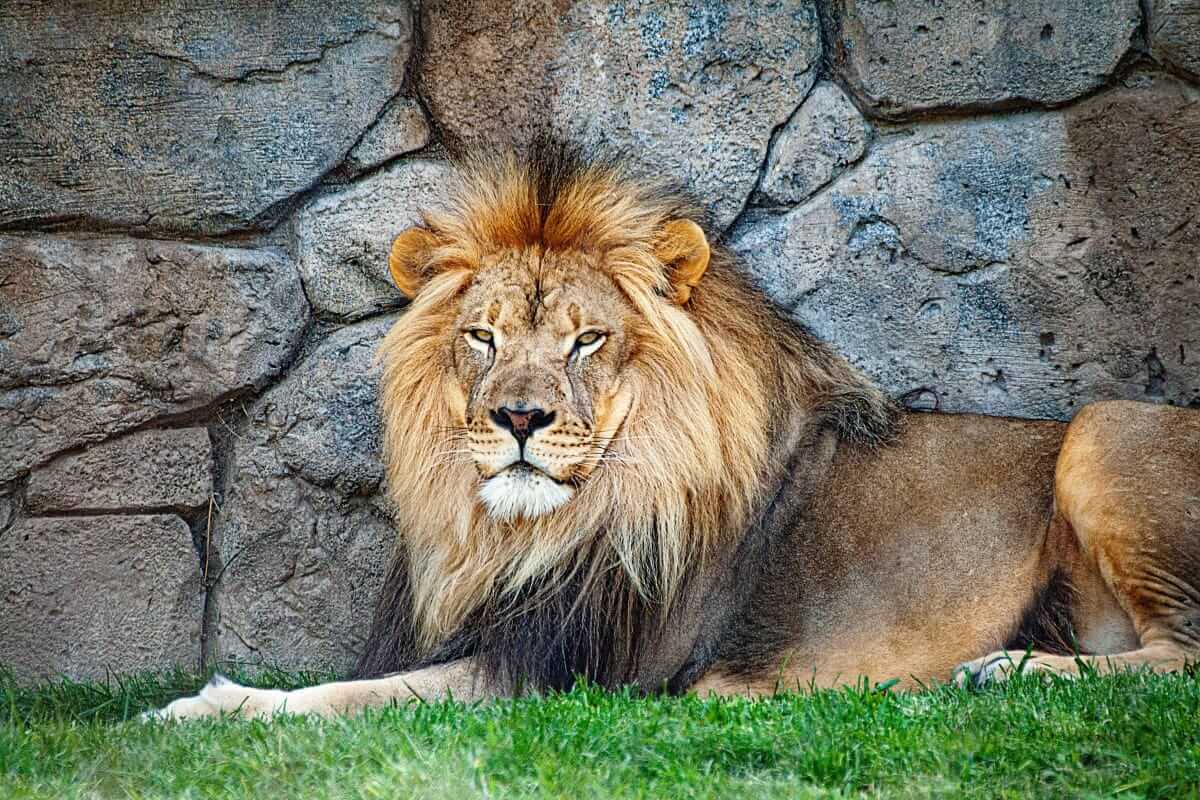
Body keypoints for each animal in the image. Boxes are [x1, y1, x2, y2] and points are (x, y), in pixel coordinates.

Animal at [150, 145, 1200, 719]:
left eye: (586, 340)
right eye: (483, 337)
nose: (519, 418)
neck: (525, 535)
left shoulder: (565, 676)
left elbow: (349, 699)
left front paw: (207, 706)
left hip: (1103, 426)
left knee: (1182, 659)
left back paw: (1008, 670)